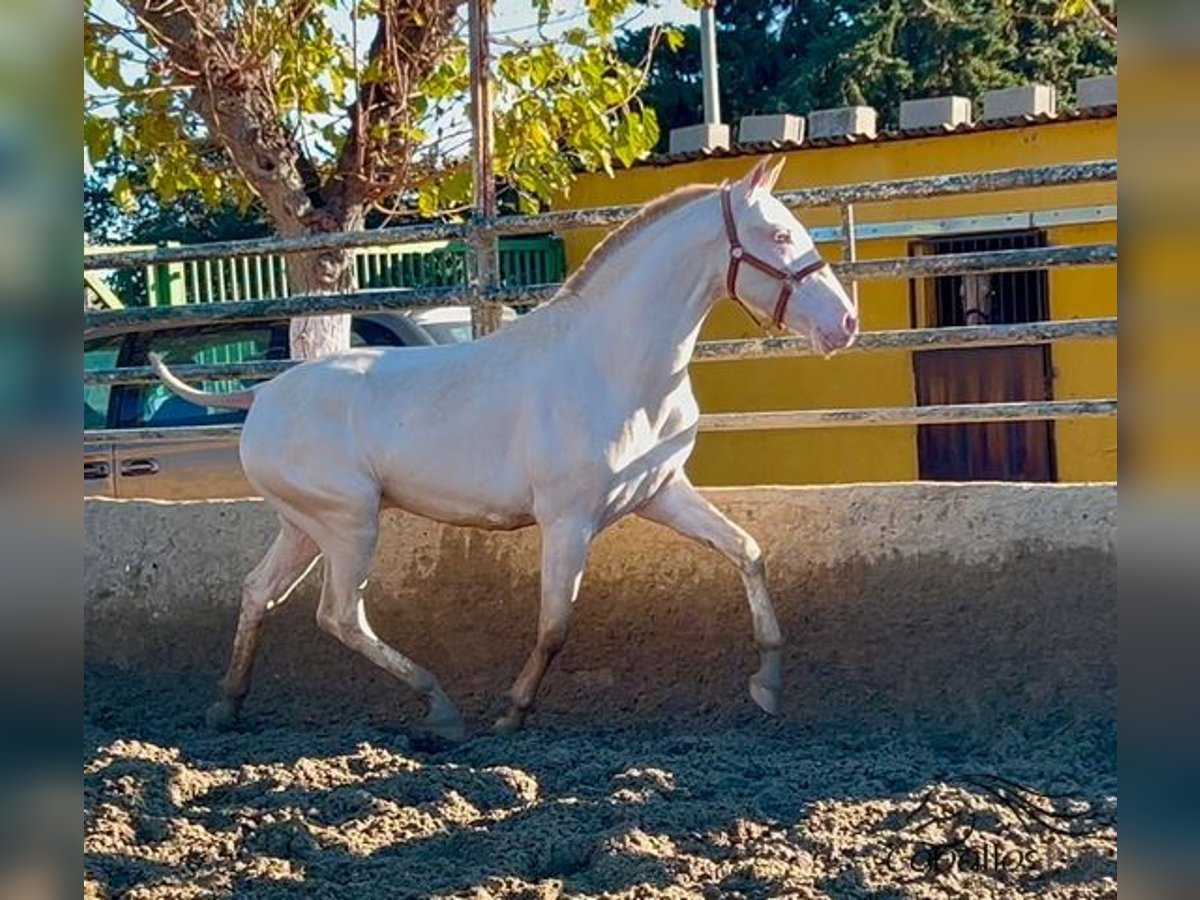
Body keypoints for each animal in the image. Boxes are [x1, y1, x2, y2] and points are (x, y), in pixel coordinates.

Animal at [154, 158, 859, 739]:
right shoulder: (567, 521)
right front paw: (511, 713)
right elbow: (554, 626)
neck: (616, 368)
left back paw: (228, 705)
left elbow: (747, 553)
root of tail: (261, 396)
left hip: (305, 525)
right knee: (340, 615)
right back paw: (441, 708)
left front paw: (767, 685)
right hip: (348, 522)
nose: (845, 324)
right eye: (779, 237)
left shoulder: (660, 495)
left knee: (258, 593)